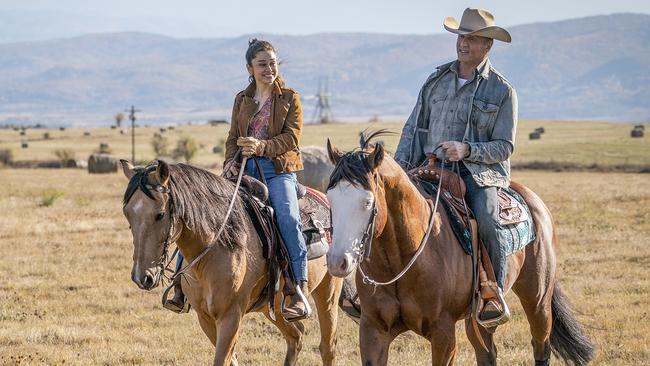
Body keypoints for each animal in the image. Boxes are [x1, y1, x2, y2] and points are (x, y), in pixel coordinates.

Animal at [122, 160, 344, 366]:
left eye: (159, 215)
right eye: (127, 214)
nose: (142, 277)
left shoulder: (230, 317)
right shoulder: (205, 318)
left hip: (328, 294)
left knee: (328, 346)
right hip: (274, 307)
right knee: (296, 335)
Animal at [322, 132, 592, 366]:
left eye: (367, 202)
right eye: (330, 198)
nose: (338, 262)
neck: (403, 261)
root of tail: (532, 200)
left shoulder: (443, 334)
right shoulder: (373, 331)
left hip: (537, 299)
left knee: (541, 344)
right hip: (478, 319)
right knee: (487, 352)